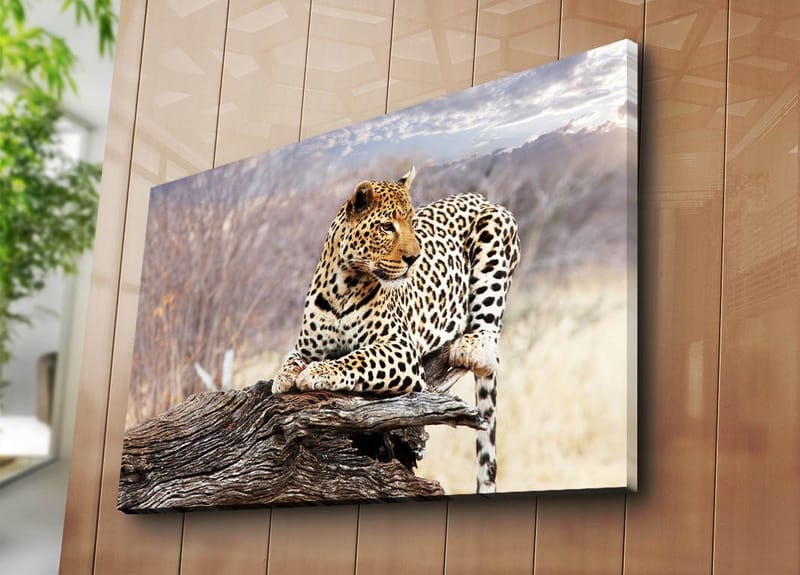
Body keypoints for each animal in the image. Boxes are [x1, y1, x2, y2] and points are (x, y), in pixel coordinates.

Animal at [272, 167, 520, 493]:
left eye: (412, 225)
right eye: (387, 227)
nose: (414, 258)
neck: (343, 285)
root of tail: (478, 196)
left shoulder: (399, 348)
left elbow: (358, 358)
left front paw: (318, 372)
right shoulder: (305, 347)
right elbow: (291, 359)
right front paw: (283, 378)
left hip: (495, 234)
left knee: (490, 340)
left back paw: (472, 347)